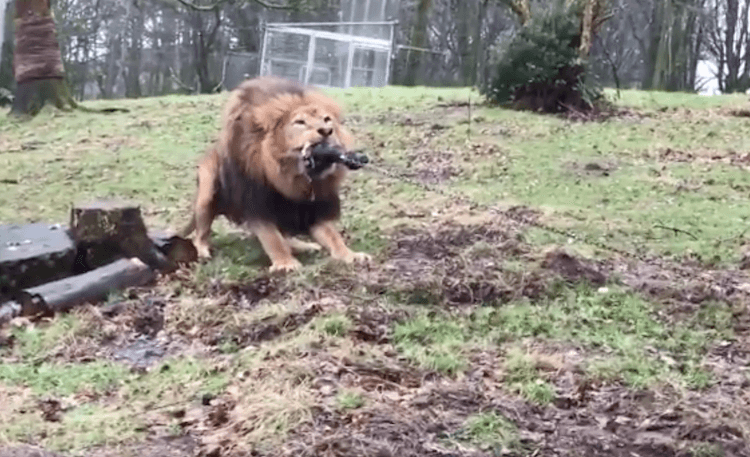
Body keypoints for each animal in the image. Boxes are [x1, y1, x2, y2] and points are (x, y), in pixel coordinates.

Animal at [180, 76, 374, 272]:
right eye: (300, 122)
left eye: (327, 119)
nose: (326, 131)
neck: (292, 178)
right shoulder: (257, 202)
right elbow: (272, 238)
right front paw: (285, 263)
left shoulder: (314, 206)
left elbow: (333, 237)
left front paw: (350, 255)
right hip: (206, 194)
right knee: (200, 233)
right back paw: (202, 252)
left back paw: (305, 246)